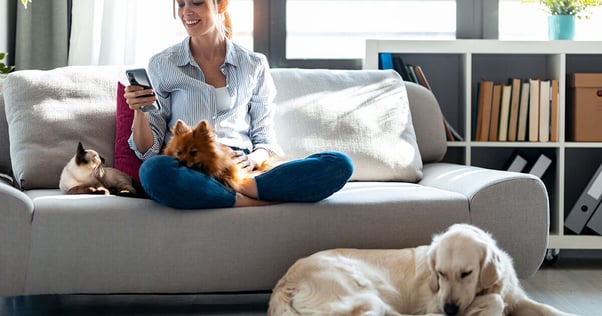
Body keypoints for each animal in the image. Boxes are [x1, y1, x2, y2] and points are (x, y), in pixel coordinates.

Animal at [268, 223, 576, 314]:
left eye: (466, 273)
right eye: (440, 273)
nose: (449, 309)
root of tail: (285, 280)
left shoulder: (518, 298)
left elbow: (548, 309)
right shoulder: (434, 303)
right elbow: (494, 300)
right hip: (365, 296)